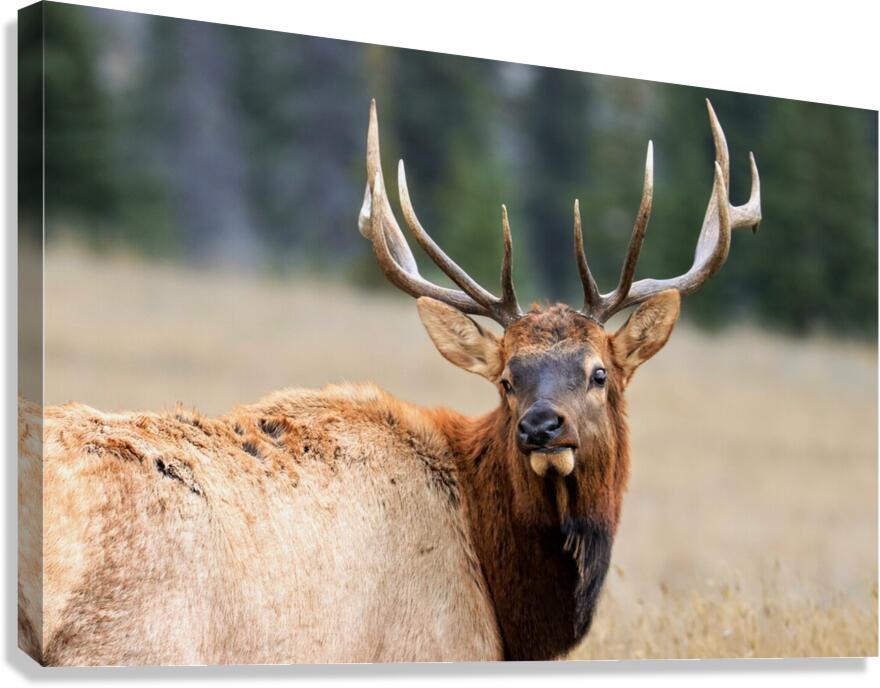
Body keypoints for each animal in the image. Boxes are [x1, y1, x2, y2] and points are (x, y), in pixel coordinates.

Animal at [18, 99, 760, 666]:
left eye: (598, 371)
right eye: (507, 379)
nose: (541, 425)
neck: (507, 615)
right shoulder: (431, 647)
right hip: (130, 641)